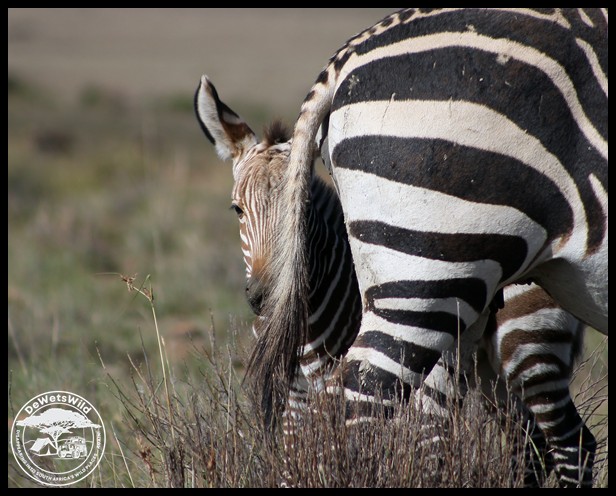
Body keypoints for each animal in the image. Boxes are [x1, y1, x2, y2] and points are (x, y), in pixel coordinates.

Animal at [194, 7, 607, 487]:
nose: (263, 298)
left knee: (570, 441)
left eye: (304, 208)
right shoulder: (296, 404)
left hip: (527, 346)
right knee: (535, 445)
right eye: (237, 210)